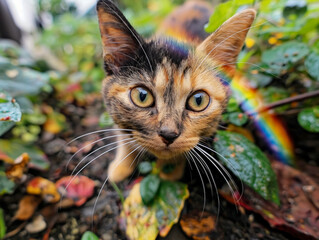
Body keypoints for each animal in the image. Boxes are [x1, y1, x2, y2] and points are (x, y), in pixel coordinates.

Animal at [96, 0, 256, 182]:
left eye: (198, 100)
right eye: (142, 97)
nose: (168, 134)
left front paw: (169, 172)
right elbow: (123, 133)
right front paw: (121, 166)